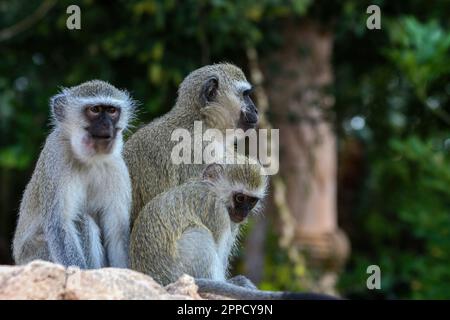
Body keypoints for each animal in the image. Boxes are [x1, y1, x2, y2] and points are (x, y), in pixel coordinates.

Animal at [12, 79, 135, 268]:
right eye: (95, 110)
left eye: (112, 111)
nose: (107, 125)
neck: (90, 160)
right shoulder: (56, 157)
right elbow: (60, 226)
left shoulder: (117, 168)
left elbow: (117, 235)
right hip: (35, 257)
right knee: (81, 221)